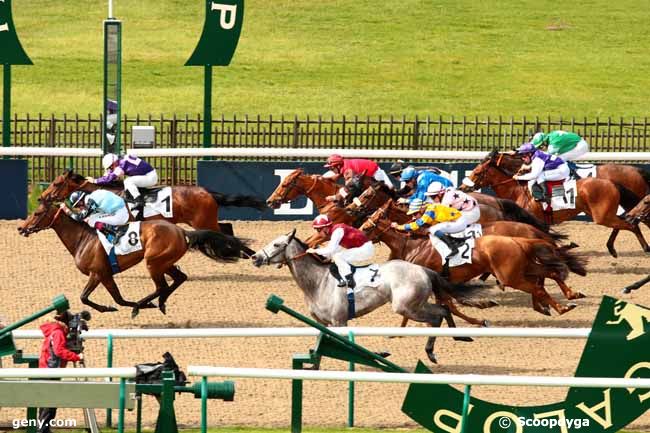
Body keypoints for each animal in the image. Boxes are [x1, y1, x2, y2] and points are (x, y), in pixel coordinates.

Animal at [17, 198, 251, 314]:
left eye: (37, 213)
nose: (21, 228)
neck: (83, 239)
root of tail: (182, 231)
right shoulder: (104, 275)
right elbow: (115, 298)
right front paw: (110, 307)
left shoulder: (98, 273)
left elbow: (92, 298)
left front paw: (108, 308)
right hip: (164, 262)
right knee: (178, 279)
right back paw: (160, 303)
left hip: (153, 262)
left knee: (162, 286)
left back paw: (144, 305)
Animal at [39, 170, 266, 233]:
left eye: (57, 183)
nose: (42, 197)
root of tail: (206, 192)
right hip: (206, 221)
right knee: (227, 228)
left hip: (203, 222)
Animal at [251, 230, 484, 362]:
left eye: (276, 244)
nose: (255, 257)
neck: (318, 282)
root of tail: (424, 270)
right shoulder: (324, 322)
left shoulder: (339, 320)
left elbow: (349, 343)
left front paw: (379, 354)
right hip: (414, 304)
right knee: (443, 309)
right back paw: (458, 337)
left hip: (406, 306)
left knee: (438, 314)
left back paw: (432, 350)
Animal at [360, 201, 588, 318]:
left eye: (368, 226)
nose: (358, 232)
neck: (412, 244)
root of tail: (526, 235)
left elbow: (453, 301)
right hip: (524, 267)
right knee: (548, 274)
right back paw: (563, 300)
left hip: (513, 274)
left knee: (539, 283)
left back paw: (554, 305)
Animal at [458, 149, 644, 256]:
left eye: (478, 172)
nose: (462, 187)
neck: (518, 190)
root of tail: (612, 183)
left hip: (602, 216)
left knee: (631, 225)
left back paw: (641, 248)